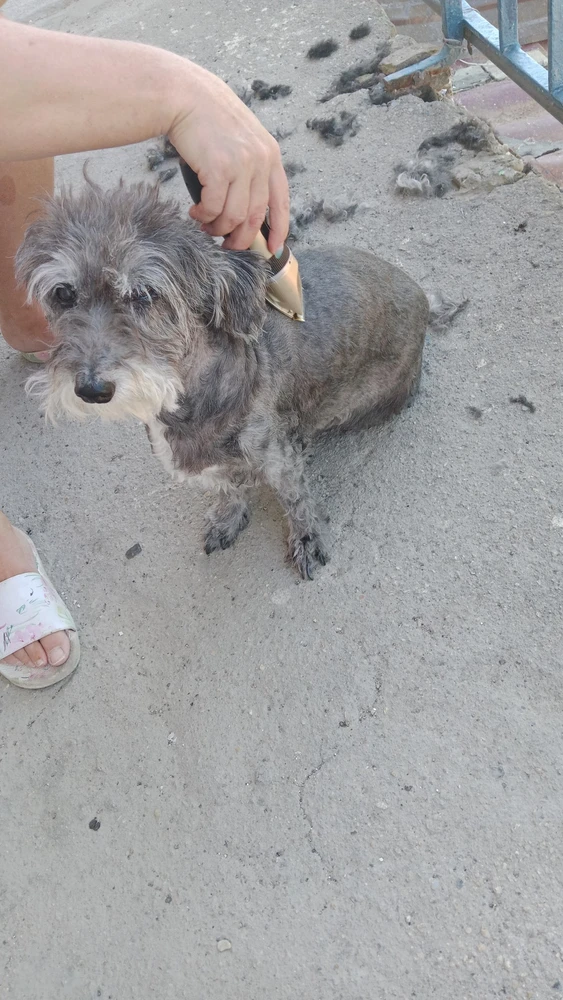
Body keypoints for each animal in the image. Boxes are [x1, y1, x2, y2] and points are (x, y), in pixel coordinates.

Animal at [16, 181, 452, 579]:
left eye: (145, 294)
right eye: (63, 294)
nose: (92, 389)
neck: (194, 396)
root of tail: (422, 300)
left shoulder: (279, 459)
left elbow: (296, 500)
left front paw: (306, 539)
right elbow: (230, 487)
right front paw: (229, 516)